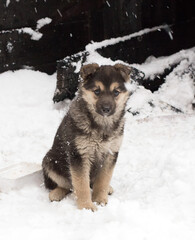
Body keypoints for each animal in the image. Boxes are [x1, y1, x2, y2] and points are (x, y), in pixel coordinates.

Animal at [42, 62, 132, 211]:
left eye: (116, 92)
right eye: (97, 91)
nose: (106, 109)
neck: (101, 125)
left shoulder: (111, 153)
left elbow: (104, 179)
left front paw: (99, 199)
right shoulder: (79, 155)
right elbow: (81, 184)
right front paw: (86, 207)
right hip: (50, 161)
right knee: (67, 185)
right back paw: (56, 193)